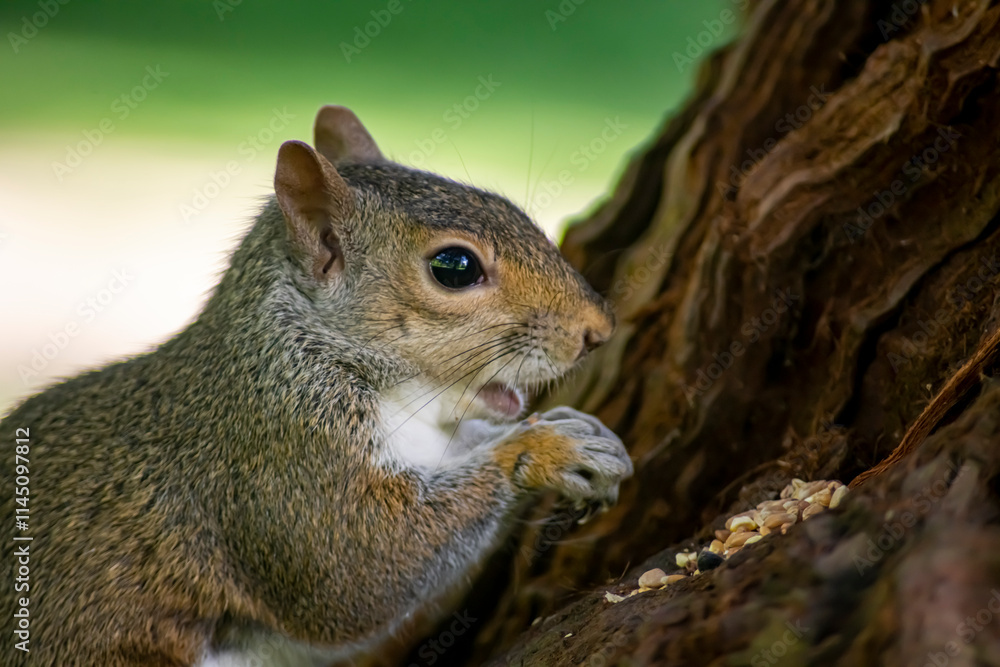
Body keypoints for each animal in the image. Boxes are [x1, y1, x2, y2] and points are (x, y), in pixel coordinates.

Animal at [1, 105, 633, 667]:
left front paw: (579, 428)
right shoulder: (280, 459)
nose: (598, 330)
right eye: (454, 267)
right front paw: (548, 449)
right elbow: (361, 573)